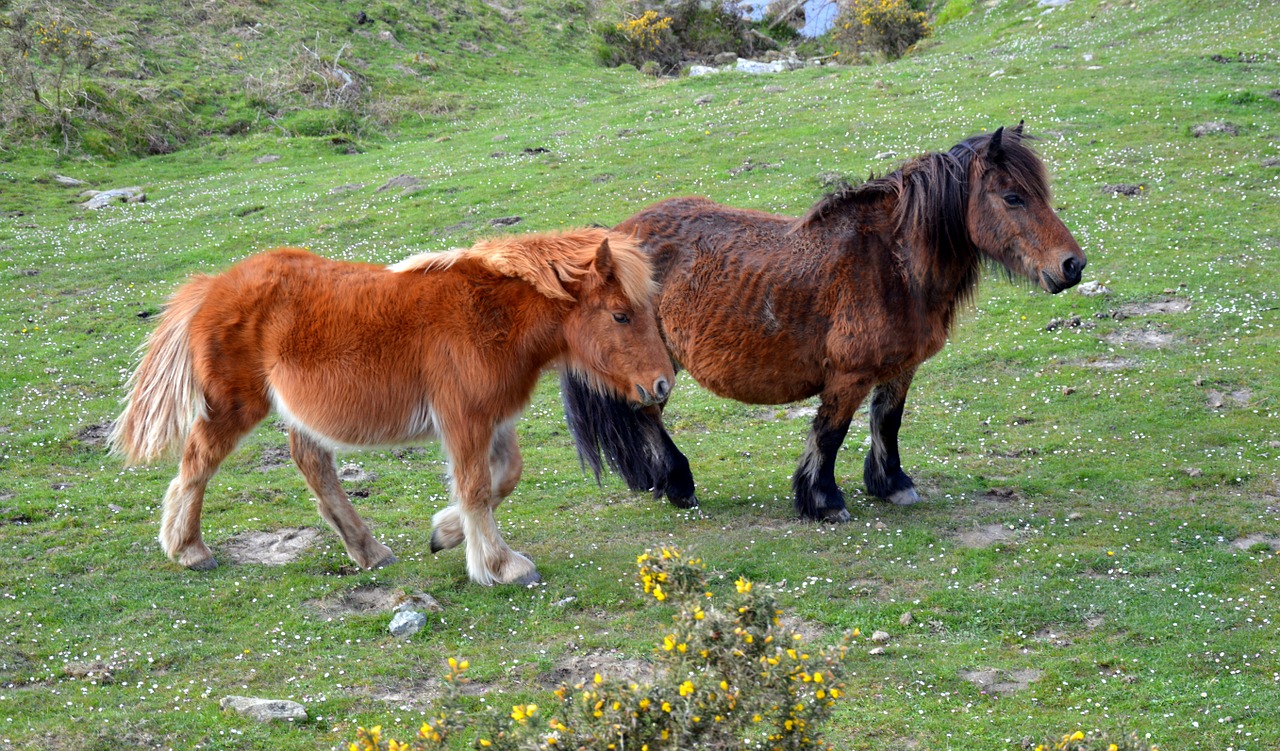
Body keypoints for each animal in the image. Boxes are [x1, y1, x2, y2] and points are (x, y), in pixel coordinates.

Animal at [111, 229, 675, 588]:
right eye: (621, 315)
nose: (661, 384)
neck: (488, 317)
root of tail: (213, 286)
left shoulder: (493, 420)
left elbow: (504, 478)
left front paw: (444, 534)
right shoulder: (464, 419)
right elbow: (475, 487)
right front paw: (501, 567)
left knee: (313, 466)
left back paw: (367, 551)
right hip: (233, 406)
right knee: (197, 464)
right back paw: (189, 549)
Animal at [565, 124, 1085, 521]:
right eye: (1013, 197)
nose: (1073, 265)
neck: (892, 264)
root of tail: (619, 236)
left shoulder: (901, 368)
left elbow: (888, 422)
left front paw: (892, 484)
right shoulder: (849, 374)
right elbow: (831, 433)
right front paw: (823, 500)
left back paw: (659, 482)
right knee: (647, 413)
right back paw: (678, 484)